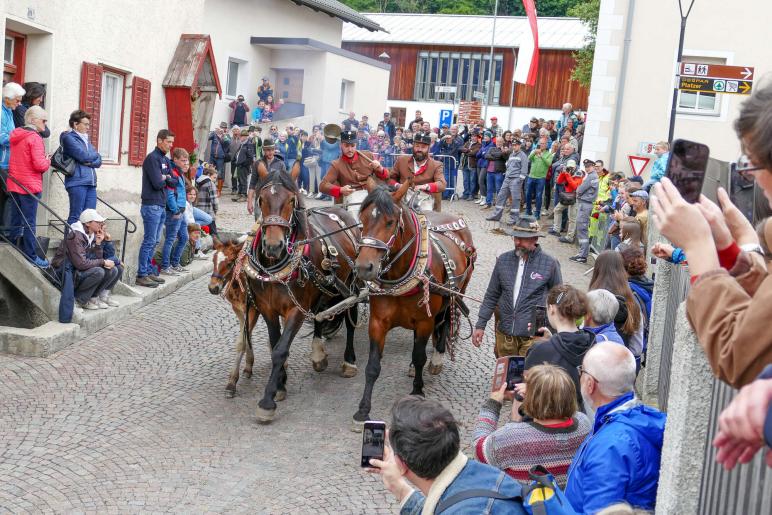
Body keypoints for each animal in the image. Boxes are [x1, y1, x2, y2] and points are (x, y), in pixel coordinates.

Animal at [352, 179, 474, 426]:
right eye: (363, 219)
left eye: (390, 222)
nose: (363, 267)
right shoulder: (378, 322)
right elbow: (372, 366)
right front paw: (363, 409)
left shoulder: (425, 321)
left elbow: (419, 357)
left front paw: (417, 391)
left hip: (455, 292)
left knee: (445, 321)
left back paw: (436, 358)